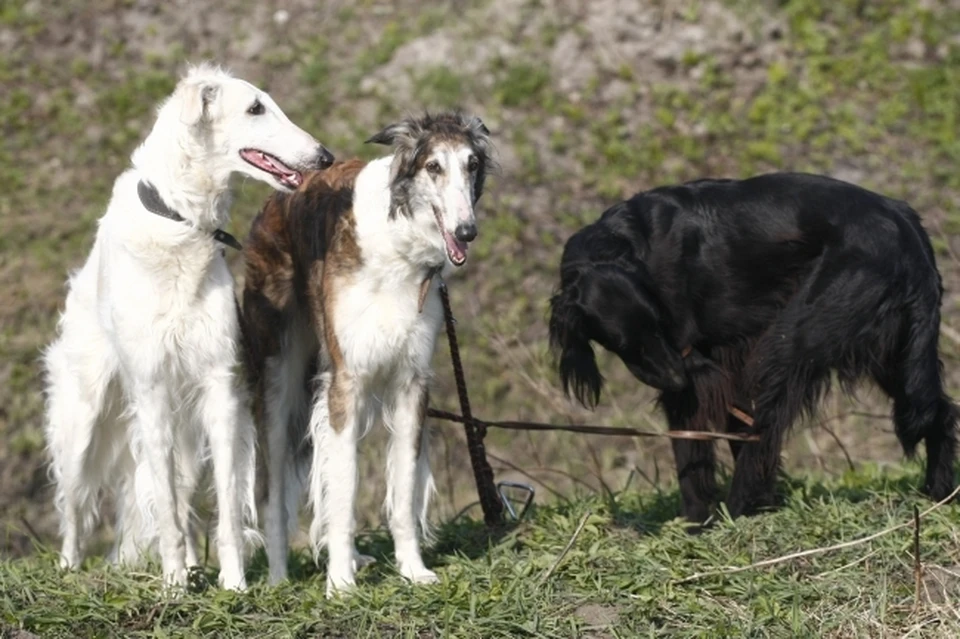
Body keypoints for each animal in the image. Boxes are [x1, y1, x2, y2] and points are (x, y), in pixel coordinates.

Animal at [552, 172, 956, 524]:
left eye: (656, 323)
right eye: (624, 342)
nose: (676, 378)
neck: (626, 243)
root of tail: (904, 222)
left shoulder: (694, 369)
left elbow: (692, 448)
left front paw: (696, 521)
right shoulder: (719, 358)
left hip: (795, 339)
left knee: (767, 427)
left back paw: (739, 505)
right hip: (892, 348)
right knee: (938, 410)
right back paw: (939, 493)